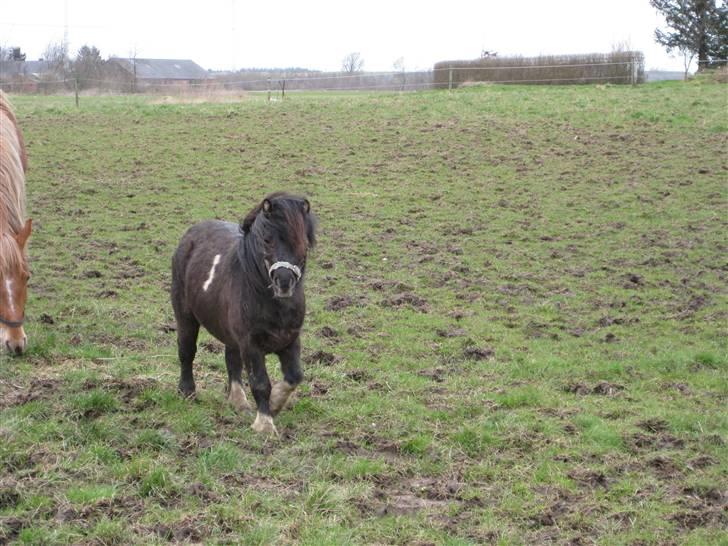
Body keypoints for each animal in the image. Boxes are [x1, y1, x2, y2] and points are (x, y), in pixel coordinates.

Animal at [173, 191, 318, 434]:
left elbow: (294, 377)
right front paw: (265, 424)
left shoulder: (290, 340)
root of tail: (190, 234)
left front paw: (275, 405)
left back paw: (239, 402)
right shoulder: (251, 344)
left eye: (302, 241)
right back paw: (187, 391)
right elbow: (260, 383)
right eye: (267, 240)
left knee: (231, 359)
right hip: (185, 317)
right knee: (187, 351)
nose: (284, 282)